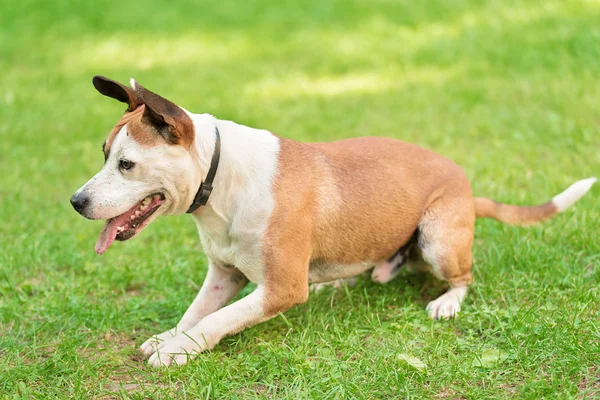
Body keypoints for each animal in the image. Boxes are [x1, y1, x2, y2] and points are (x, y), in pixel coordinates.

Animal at [70, 76, 596, 368]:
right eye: (104, 154)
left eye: (127, 165)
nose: (76, 201)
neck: (220, 180)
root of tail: (467, 188)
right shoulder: (224, 274)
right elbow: (197, 311)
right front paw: (170, 337)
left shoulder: (281, 288)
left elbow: (217, 319)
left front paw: (178, 350)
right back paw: (339, 282)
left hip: (439, 240)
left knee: (464, 276)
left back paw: (447, 301)